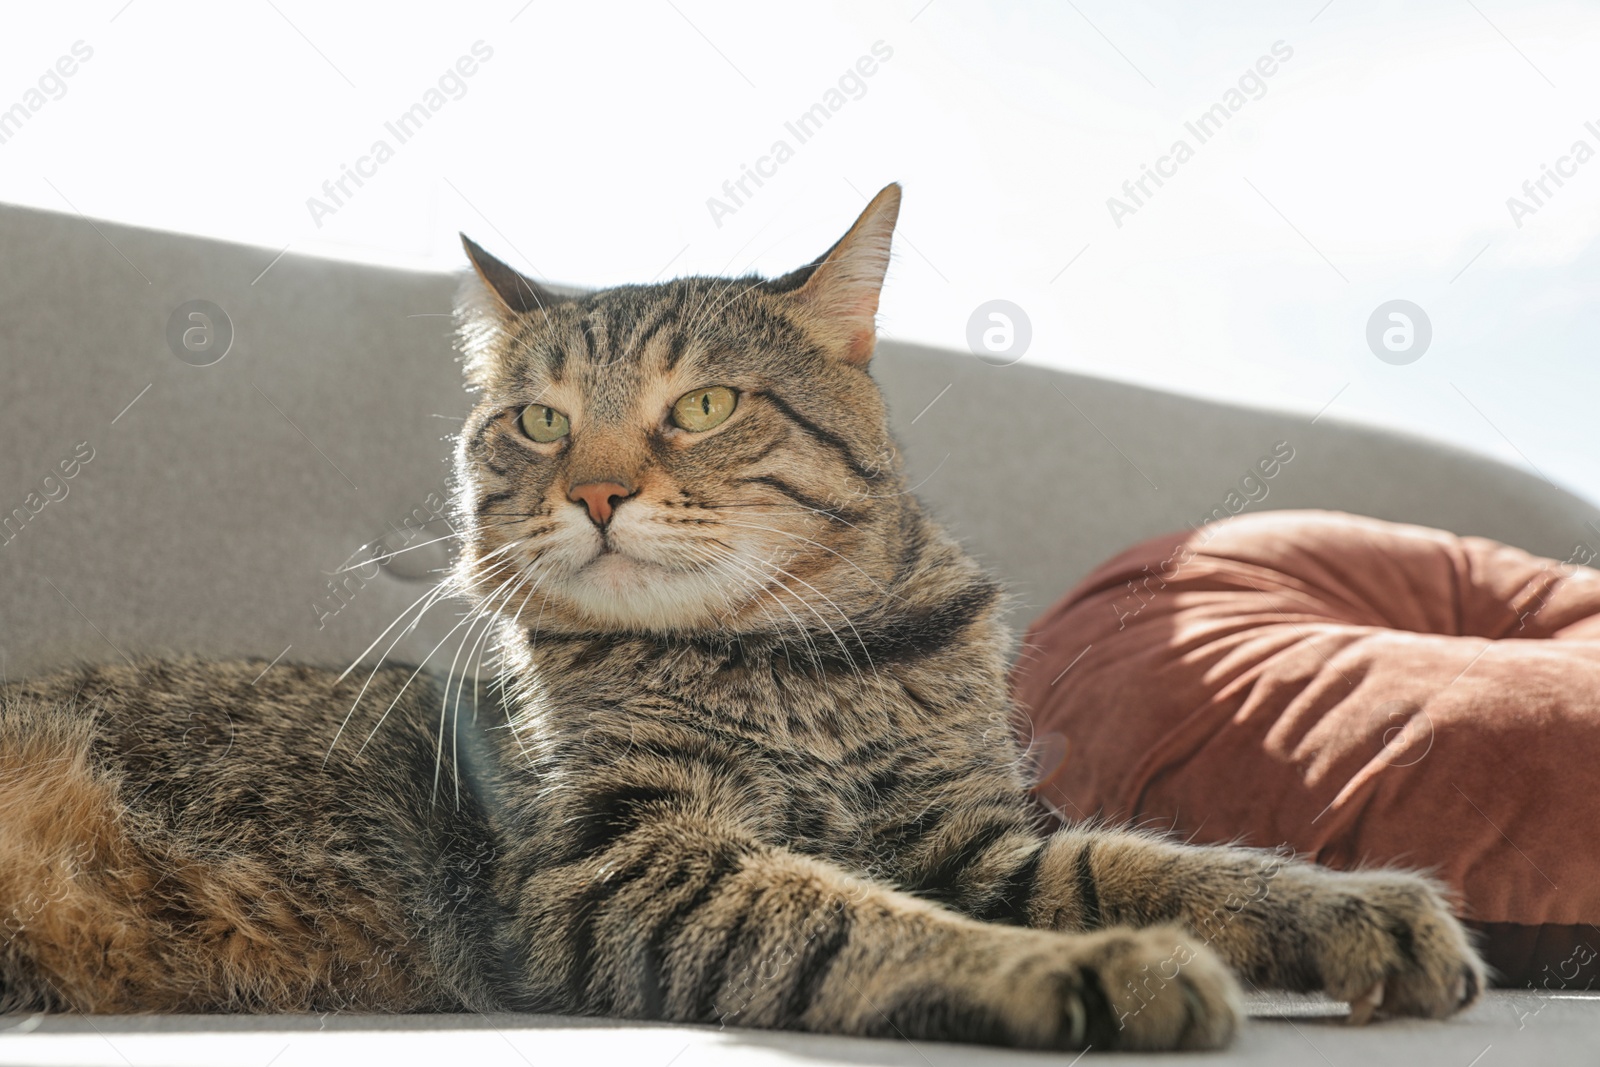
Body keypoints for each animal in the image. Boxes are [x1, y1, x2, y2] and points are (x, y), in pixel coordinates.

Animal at [0, 185, 1478, 1049]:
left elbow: (1160, 860)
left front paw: (1352, 907)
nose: (593, 487)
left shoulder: (972, 835)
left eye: (703, 405)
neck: (789, 668)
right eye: (539, 422)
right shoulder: (614, 865)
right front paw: (1095, 970)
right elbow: (853, 915)